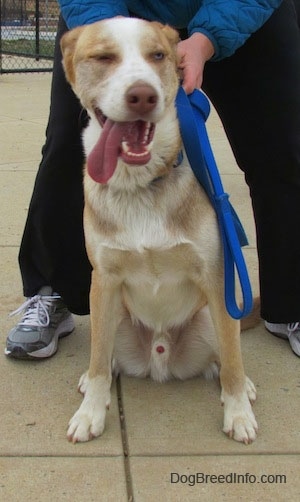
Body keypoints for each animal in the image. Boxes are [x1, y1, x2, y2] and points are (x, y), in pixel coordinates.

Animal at [60, 18, 258, 444]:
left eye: (158, 55)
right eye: (103, 57)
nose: (142, 96)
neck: (140, 185)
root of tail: (160, 358)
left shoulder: (216, 277)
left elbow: (234, 360)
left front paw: (238, 413)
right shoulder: (104, 279)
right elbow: (98, 362)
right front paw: (89, 414)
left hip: (212, 314)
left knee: (228, 353)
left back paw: (240, 386)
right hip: (112, 313)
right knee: (103, 356)